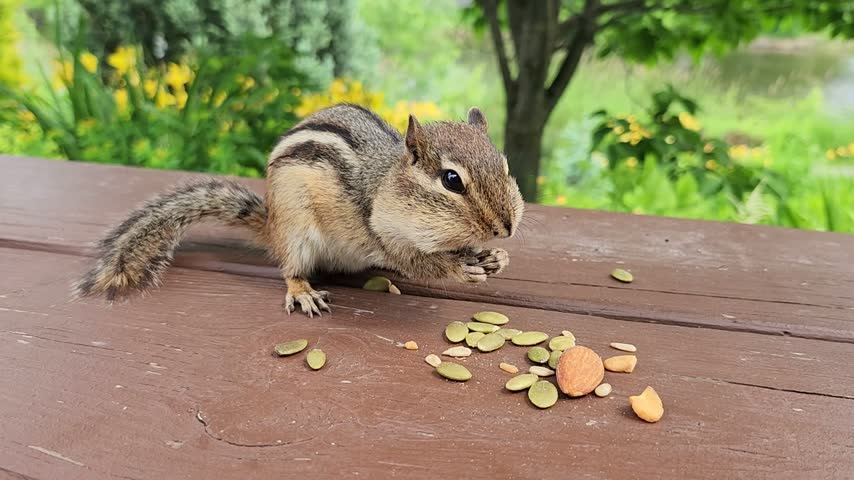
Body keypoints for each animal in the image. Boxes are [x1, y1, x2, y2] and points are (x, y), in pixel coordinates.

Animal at [74, 103, 524, 316]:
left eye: (505, 165)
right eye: (452, 180)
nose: (506, 228)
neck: (387, 184)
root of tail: (271, 224)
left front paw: (496, 258)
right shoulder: (385, 233)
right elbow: (419, 262)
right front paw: (461, 268)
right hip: (295, 232)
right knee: (290, 268)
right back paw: (302, 290)